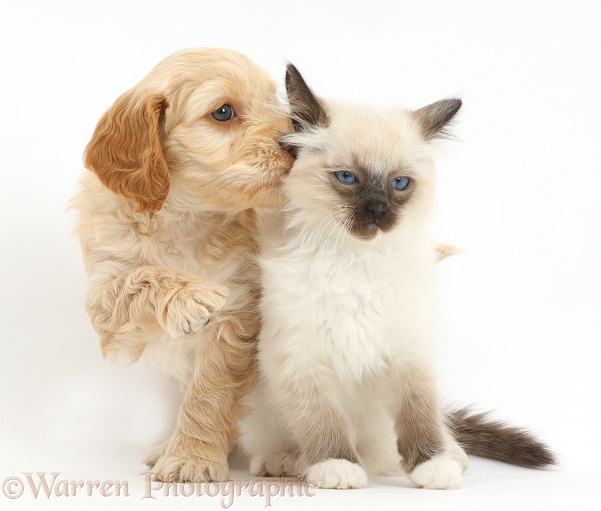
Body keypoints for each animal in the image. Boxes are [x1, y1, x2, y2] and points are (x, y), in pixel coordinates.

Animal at [70, 49, 292, 484]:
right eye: (223, 112)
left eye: (273, 100)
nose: (299, 141)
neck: (184, 218)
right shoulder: (104, 300)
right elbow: (137, 278)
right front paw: (192, 297)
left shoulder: (237, 310)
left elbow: (208, 394)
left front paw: (192, 458)